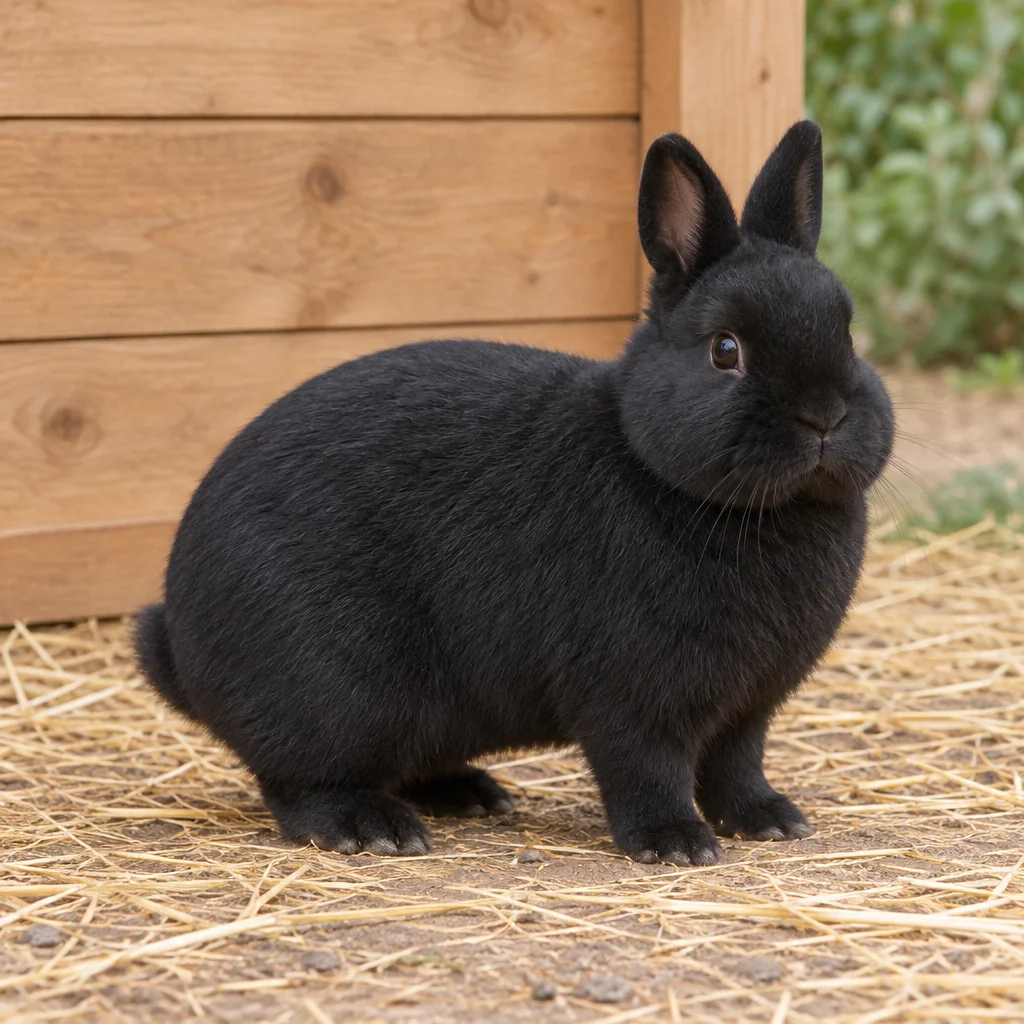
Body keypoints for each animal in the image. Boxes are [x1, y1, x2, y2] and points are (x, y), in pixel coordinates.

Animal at [134, 120, 893, 866]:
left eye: (847, 332)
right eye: (725, 350)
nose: (825, 415)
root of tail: (180, 644)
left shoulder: (747, 709)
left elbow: (736, 767)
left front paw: (771, 820)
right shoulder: (631, 699)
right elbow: (648, 769)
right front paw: (675, 843)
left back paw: (473, 794)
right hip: (338, 692)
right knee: (296, 783)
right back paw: (373, 827)